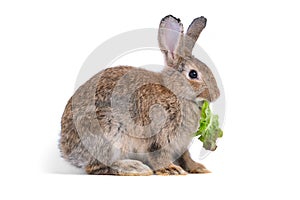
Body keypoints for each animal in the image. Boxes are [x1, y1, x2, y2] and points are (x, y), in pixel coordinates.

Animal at [58, 14, 219, 175]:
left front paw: (198, 168)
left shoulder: (180, 145)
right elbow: (159, 156)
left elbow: (186, 156)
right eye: (193, 74)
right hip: (109, 132)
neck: (175, 92)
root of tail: (66, 150)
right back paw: (135, 168)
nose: (216, 95)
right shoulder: (158, 137)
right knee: (98, 166)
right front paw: (171, 169)